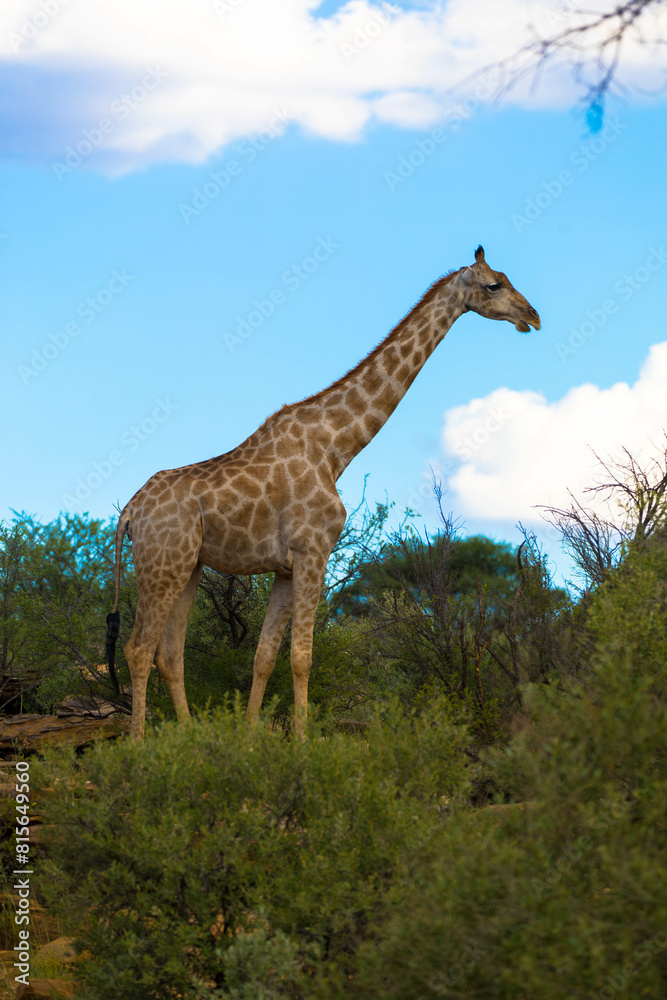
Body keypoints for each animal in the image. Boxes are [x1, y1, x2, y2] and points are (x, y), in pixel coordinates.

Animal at [107, 246, 540, 738]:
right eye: (494, 285)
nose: (533, 316)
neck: (336, 448)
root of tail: (129, 512)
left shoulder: (285, 567)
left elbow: (263, 657)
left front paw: (250, 739)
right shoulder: (313, 551)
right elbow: (301, 658)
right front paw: (302, 742)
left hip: (189, 566)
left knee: (169, 653)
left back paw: (190, 737)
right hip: (163, 563)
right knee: (139, 648)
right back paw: (141, 746)